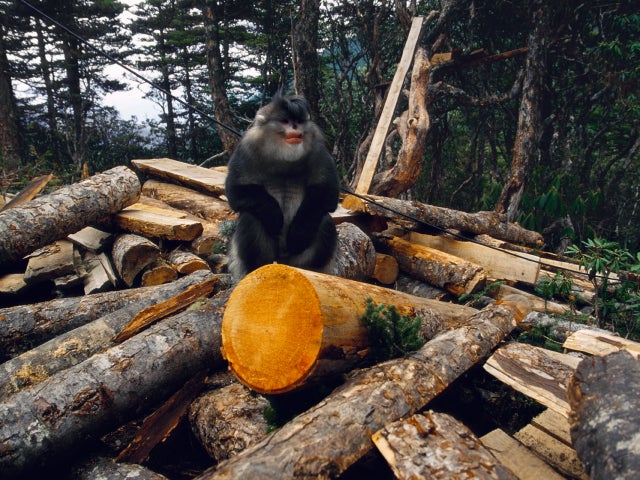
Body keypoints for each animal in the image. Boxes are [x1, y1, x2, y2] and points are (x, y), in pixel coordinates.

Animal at [224, 93, 340, 281]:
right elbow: (236, 191)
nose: (295, 127)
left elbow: (327, 193)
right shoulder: (246, 149)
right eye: (285, 121)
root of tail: (283, 261)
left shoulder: (318, 150)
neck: (283, 156)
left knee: (325, 220)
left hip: (296, 260)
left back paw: (311, 271)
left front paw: (299, 231)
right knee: (250, 217)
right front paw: (273, 214)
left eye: (298, 121)